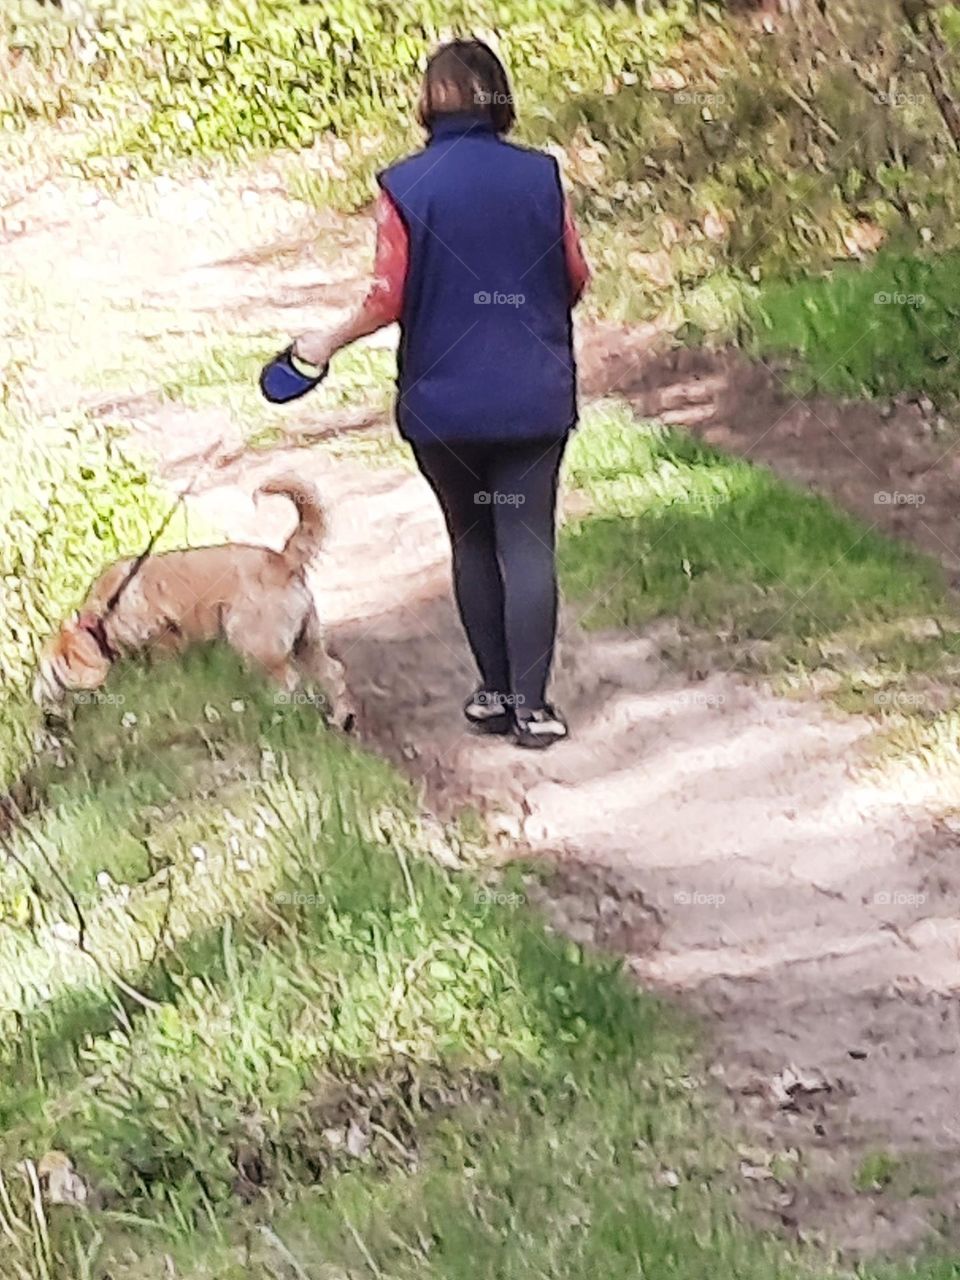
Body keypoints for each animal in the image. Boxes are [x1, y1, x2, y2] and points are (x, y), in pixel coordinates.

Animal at [34, 476, 358, 727]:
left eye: (51, 678)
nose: (45, 720)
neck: (101, 619)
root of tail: (281, 560)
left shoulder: (163, 639)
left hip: (256, 642)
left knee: (288, 680)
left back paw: (278, 713)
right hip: (306, 640)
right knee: (332, 671)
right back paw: (341, 718)